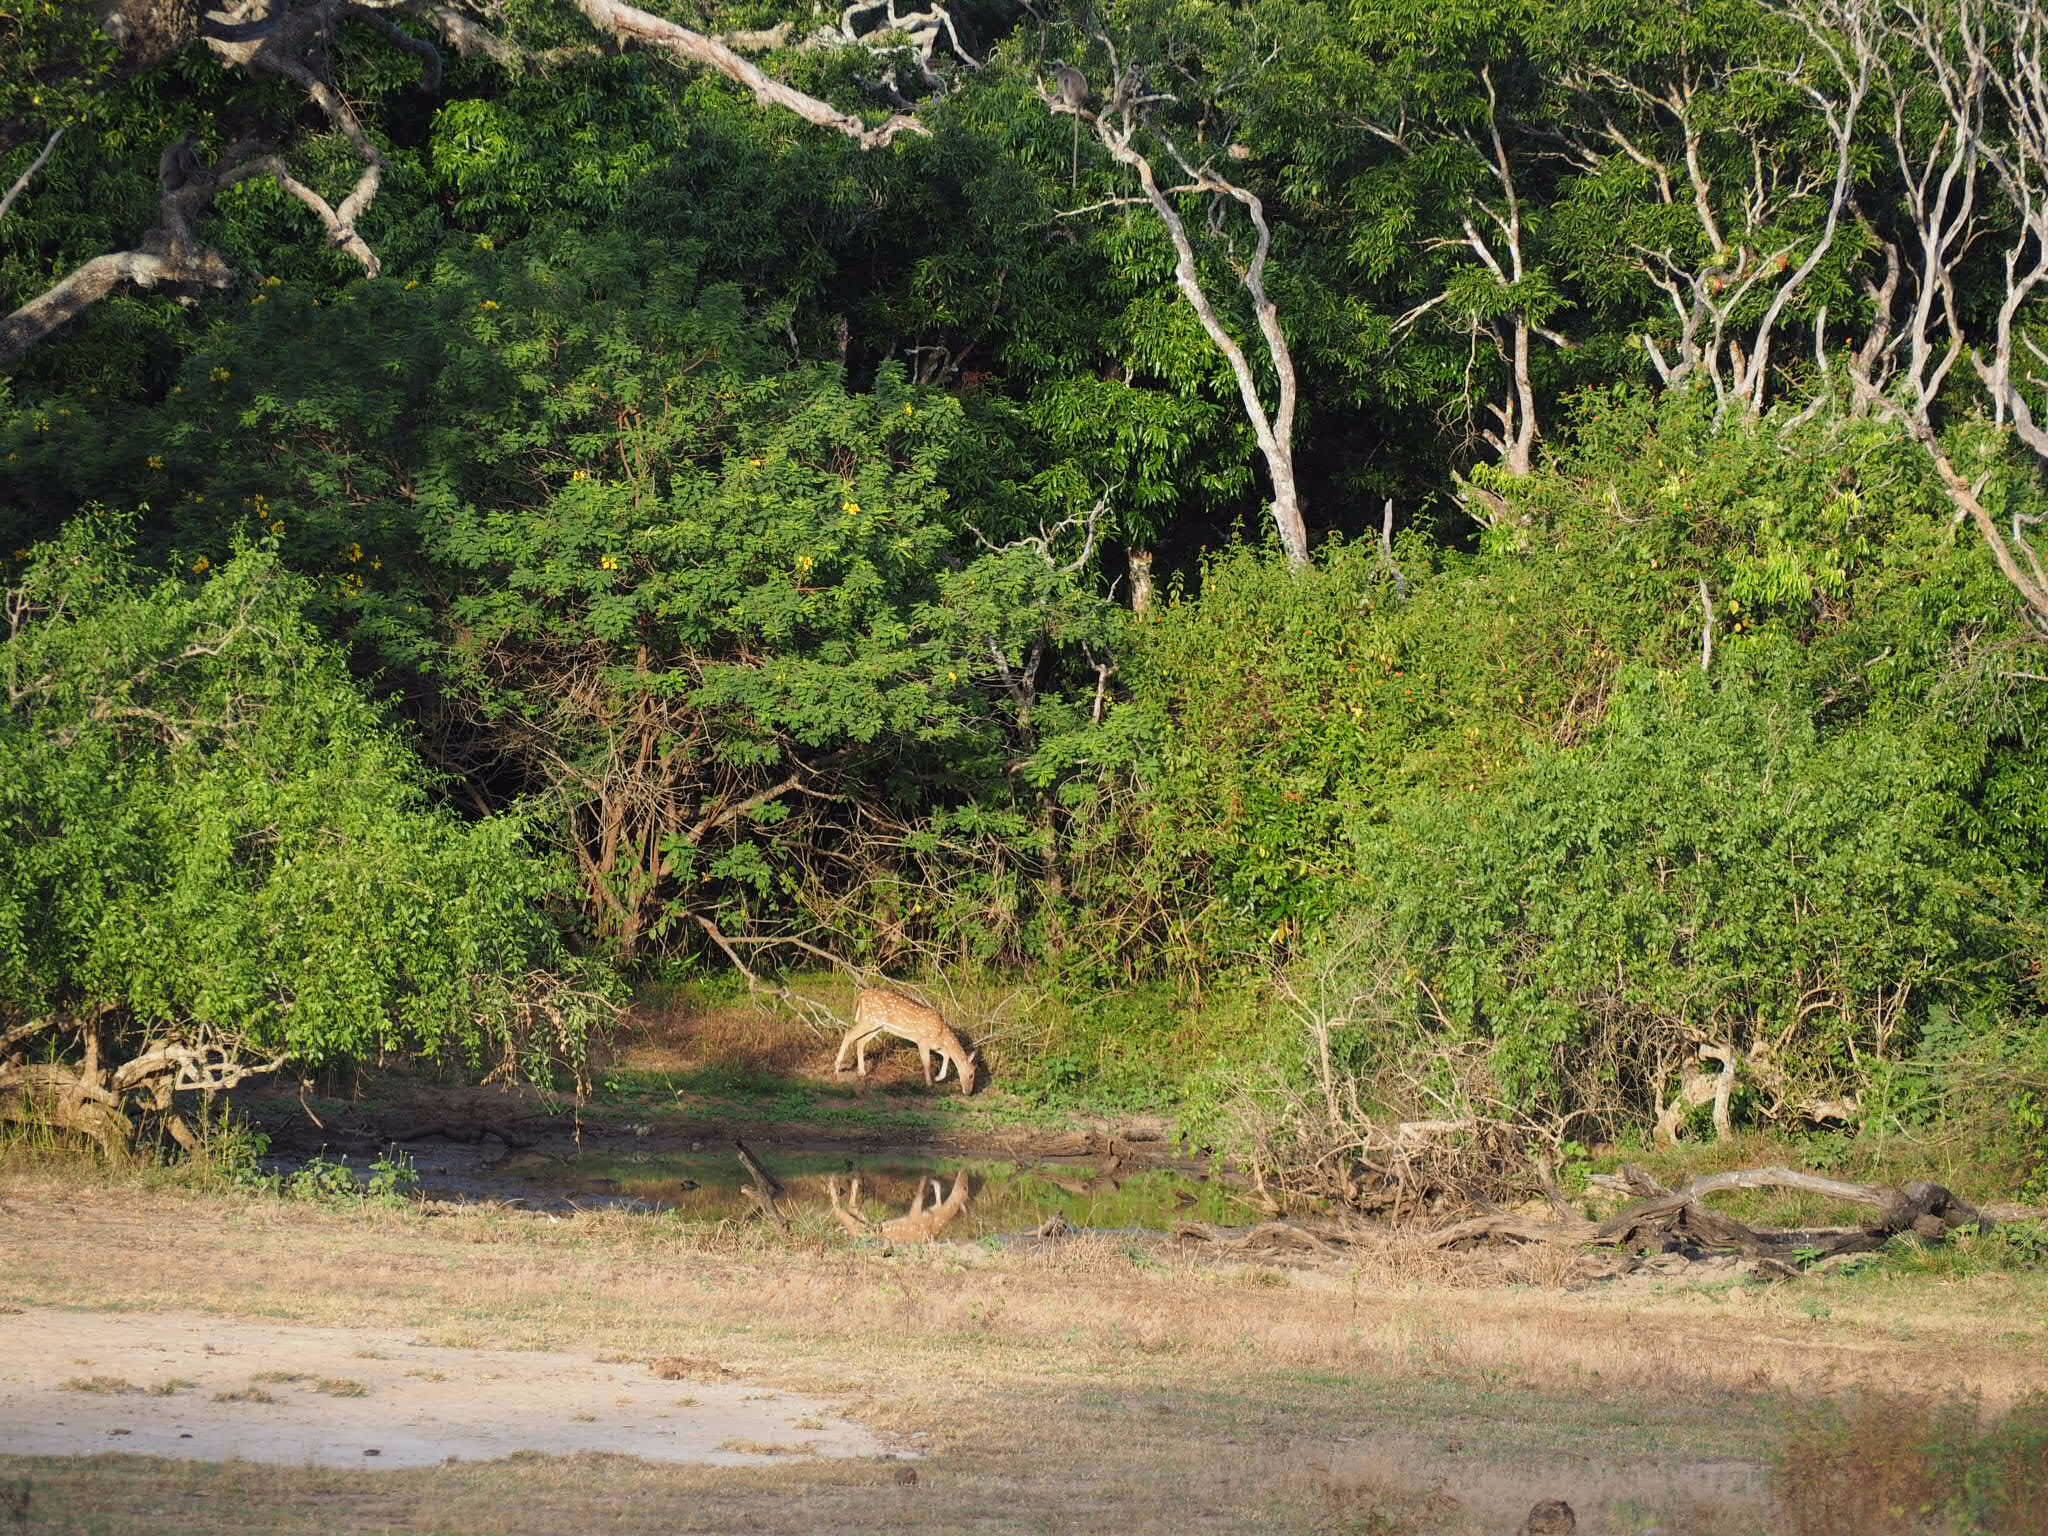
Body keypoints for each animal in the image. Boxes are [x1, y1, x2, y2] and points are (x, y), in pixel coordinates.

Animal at [839, 987, 983, 1097]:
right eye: (971, 1074)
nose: (969, 1093)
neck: (941, 1033)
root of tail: (861, 995)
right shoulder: (922, 1041)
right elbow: (926, 1063)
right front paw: (929, 1084)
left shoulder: (935, 1045)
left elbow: (946, 1055)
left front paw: (938, 1078)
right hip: (869, 1020)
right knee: (848, 1035)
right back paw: (837, 1068)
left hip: (877, 1025)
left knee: (860, 1041)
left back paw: (862, 1072)